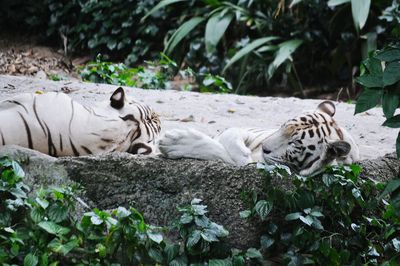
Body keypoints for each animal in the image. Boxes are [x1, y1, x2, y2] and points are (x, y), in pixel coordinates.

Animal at [159, 101, 360, 176]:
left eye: (295, 143)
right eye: (283, 126)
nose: (265, 148)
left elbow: (219, 151)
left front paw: (171, 143)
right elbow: (230, 135)